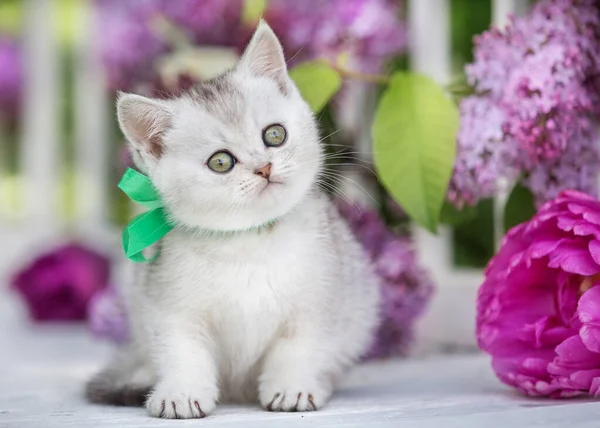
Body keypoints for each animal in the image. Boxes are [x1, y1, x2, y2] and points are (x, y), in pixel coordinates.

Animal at [85, 20, 380, 418]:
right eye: (221, 162)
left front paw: (292, 387)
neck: (249, 241)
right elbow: (182, 351)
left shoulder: (320, 300)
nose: (264, 168)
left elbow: (298, 348)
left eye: (275, 134)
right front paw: (181, 393)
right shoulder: (168, 305)